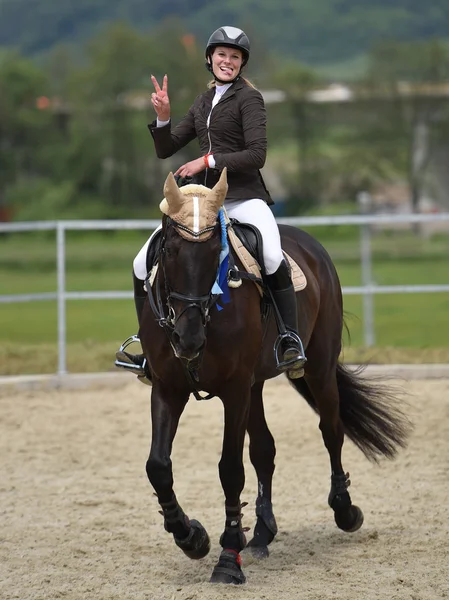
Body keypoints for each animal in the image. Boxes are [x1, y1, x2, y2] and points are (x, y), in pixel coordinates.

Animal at [139, 169, 410, 584]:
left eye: (215, 253)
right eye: (169, 251)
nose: (188, 340)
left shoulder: (234, 390)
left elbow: (230, 470)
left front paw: (227, 559)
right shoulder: (169, 388)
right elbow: (158, 466)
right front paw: (191, 536)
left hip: (317, 367)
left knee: (331, 431)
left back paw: (345, 511)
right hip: (256, 384)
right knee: (264, 449)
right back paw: (263, 532)